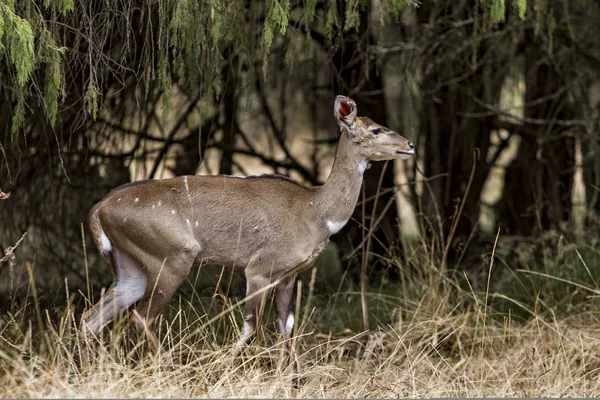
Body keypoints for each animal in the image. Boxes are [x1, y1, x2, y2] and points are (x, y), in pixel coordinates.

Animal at [82, 94, 414, 360]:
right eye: (375, 129)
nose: (410, 144)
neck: (315, 213)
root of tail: (99, 209)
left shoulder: (288, 276)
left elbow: (286, 331)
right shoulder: (258, 269)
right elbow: (251, 328)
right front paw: (221, 368)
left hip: (131, 268)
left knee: (90, 319)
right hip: (173, 257)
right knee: (141, 317)